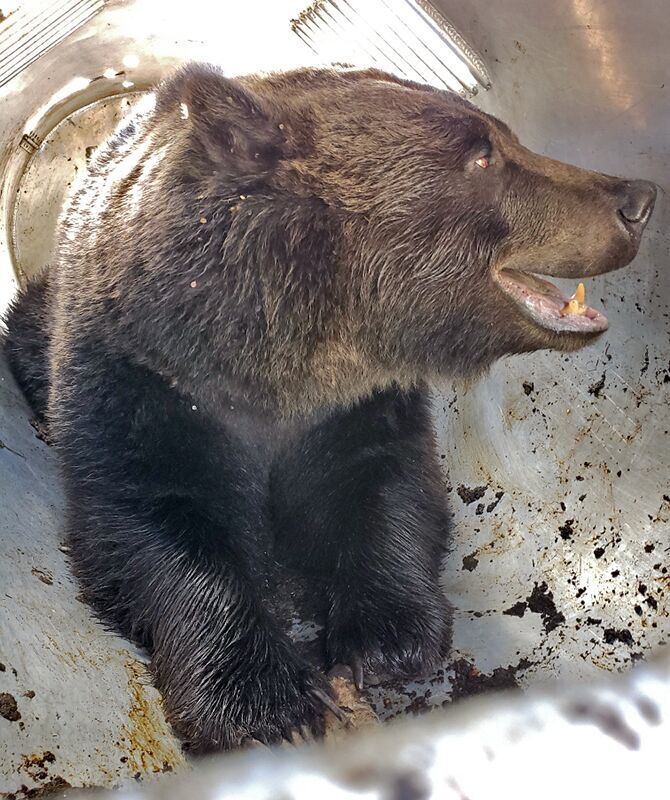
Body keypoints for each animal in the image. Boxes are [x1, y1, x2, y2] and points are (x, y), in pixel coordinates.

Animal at [2, 62, 660, 752]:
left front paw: (384, 639)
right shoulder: (143, 382)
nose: (636, 200)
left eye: (505, 136)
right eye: (481, 156)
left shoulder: (354, 408)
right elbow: (153, 520)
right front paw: (264, 703)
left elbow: (385, 488)